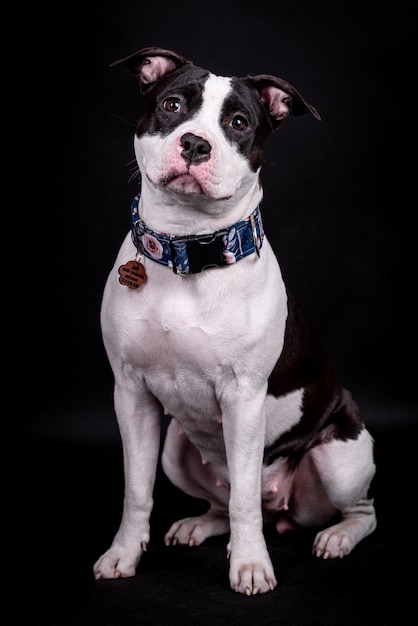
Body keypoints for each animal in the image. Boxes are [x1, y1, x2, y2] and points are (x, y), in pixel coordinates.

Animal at [93, 46, 378, 592]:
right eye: (173, 104)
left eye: (239, 122)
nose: (195, 143)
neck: (187, 247)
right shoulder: (132, 394)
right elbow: (136, 490)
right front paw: (123, 553)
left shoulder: (245, 399)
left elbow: (244, 499)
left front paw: (249, 565)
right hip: (174, 449)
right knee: (223, 502)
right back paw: (199, 523)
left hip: (340, 459)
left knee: (357, 510)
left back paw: (337, 537)